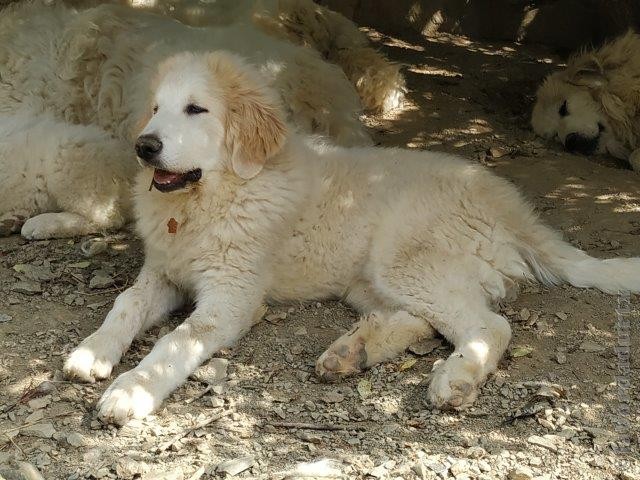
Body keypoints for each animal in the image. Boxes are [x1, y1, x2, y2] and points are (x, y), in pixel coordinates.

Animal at [63, 49, 640, 424]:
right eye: (156, 108)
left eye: (196, 109)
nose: (144, 146)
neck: (216, 195)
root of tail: (512, 206)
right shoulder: (163, 271)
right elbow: (124, 304)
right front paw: (93, 351)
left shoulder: (231, 298)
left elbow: (175, 342)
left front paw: (132, 390)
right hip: (373, 279)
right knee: (428, 320)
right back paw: (353, 351)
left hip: (402, 258)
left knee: (489, 324)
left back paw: (454, 379)